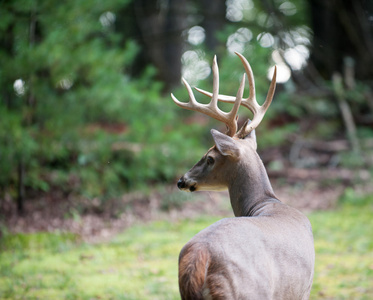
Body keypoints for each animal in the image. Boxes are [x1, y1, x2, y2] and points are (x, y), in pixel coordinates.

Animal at [171, 52, 314, 300]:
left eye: (210, 158)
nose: (182, 180)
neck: (267, 202)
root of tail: (200, 255)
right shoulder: (303, 289)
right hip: (250, 291)